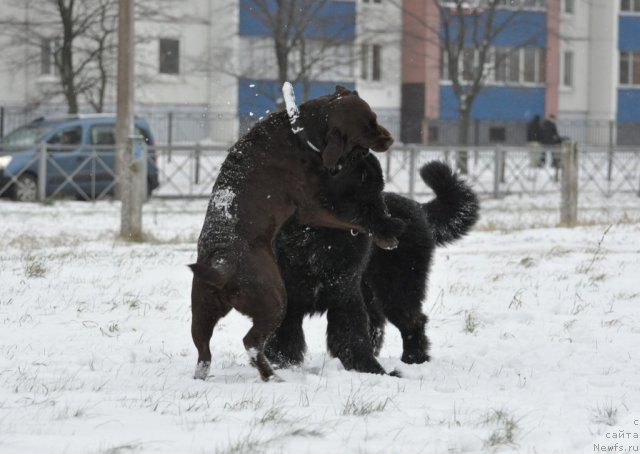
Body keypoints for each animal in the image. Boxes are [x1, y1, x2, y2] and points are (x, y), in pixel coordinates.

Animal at [188, 84, 402, 380]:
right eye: (368, 126)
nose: (390, 139)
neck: (301, 132)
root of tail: (222, 264)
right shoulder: (311, 209)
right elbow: (355, 223)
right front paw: (384, 232)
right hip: (275, 300)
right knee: (251, 341)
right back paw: (273, 376)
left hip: (201, 312)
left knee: (204, 351)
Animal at [266, 154, 480, 374]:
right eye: (362, 179)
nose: (394, 225)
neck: (318, 236)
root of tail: (419, 208)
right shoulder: (290, 297)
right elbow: (285, 338)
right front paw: (279, 364)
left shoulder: (345, 294)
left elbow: (352, 336)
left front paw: (373, 370)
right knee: (380, 325)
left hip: (397, 288)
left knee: (413, 321)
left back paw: (413, 359)